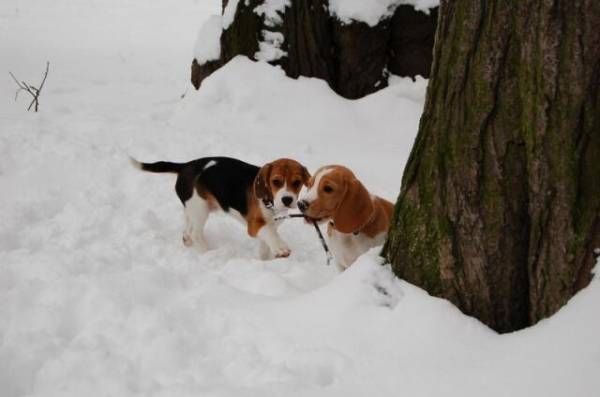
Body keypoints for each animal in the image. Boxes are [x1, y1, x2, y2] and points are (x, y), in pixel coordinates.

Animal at [131, 155, 310, 260]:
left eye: (297, 183)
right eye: (276, 181)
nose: (287, 199)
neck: (269, 201)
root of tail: (185, 166)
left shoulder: (272, 225)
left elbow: (266, 244)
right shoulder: (254, 226)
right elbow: (270, 235)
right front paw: (281, 248)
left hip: (192, 208)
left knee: (187, 229)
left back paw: (187, 241)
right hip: (200, 209)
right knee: (196, 234)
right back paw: (207, 254)